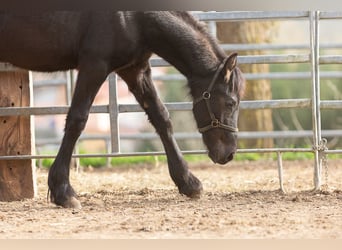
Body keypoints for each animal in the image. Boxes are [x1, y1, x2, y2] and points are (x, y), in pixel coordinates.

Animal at [0, 10, 246, 208]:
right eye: (231, 103)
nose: (229, 153)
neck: (134, 17)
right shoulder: (94, 66)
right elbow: (77, 120)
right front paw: (63, 192)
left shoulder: (135, 70)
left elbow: (161, 117)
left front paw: (188, 182)